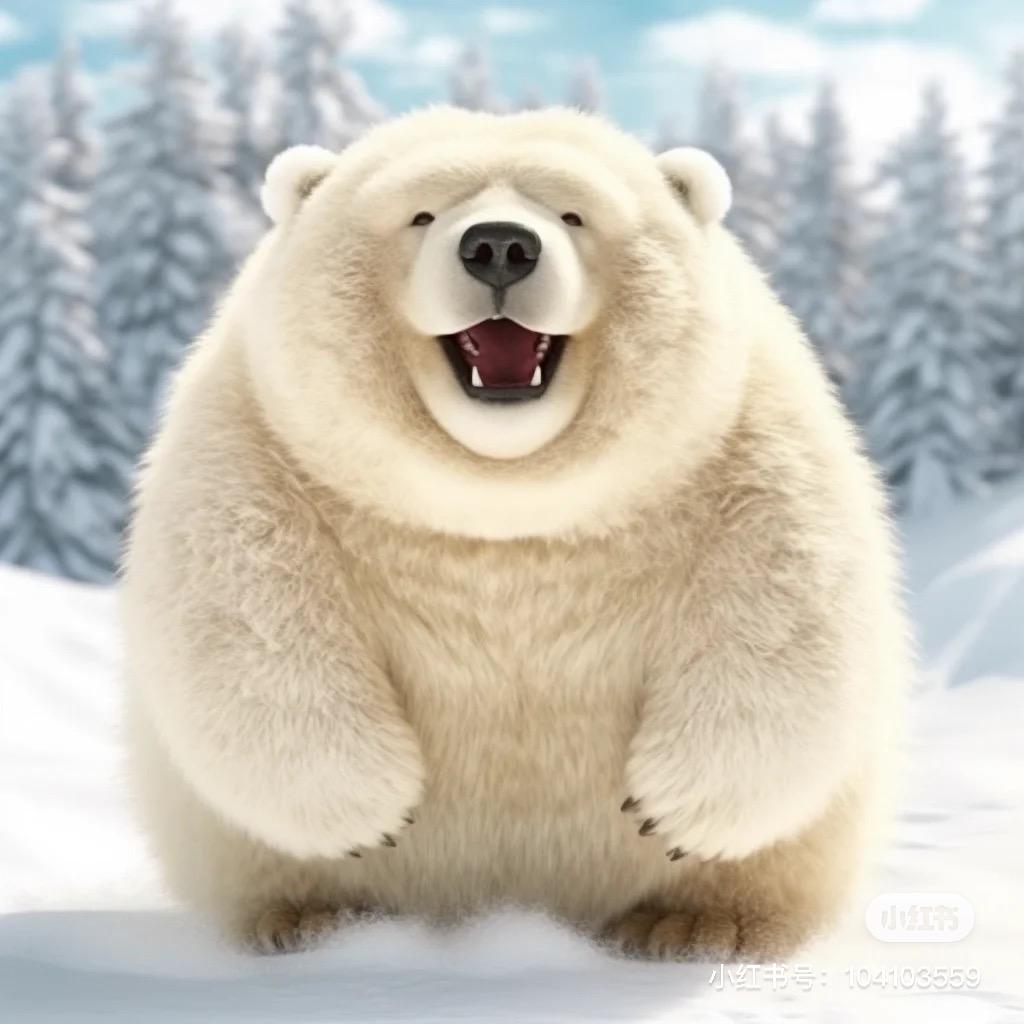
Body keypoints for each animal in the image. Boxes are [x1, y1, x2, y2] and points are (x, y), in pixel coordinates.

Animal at [121, 106, 908, 961]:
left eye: (572, 214)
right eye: (421, 213)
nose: (499, 245)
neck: (504, 504)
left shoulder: (739, 439)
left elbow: (789, 603)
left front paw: (666, 805)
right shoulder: (258, 439)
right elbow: (238, 608)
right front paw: (375, 806)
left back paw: (693, 922)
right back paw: (311, 917)